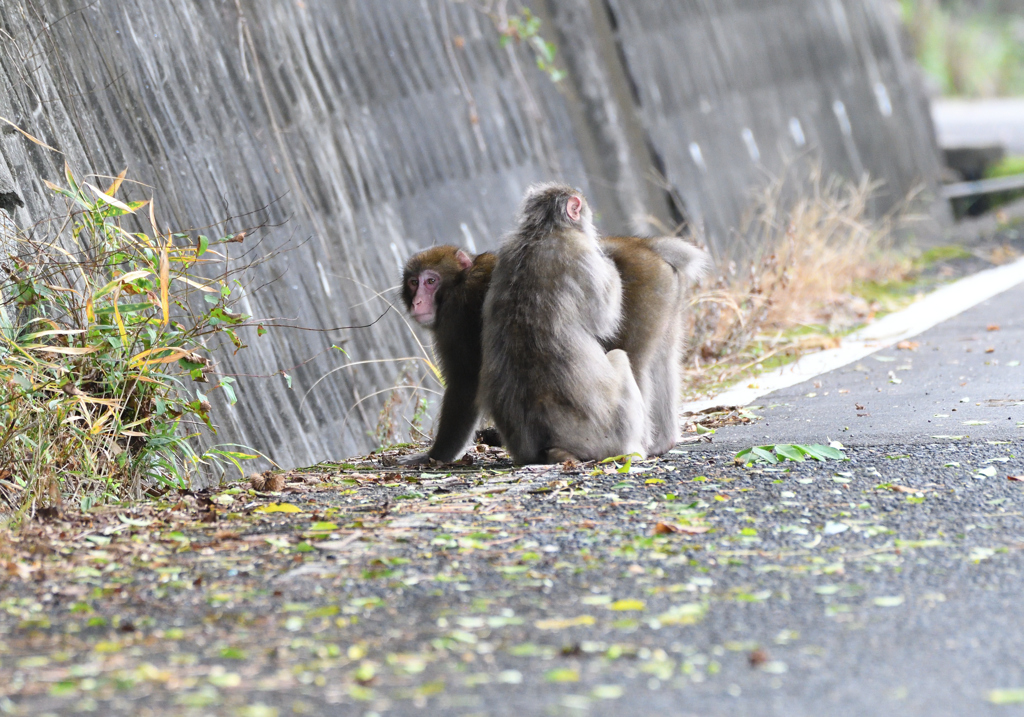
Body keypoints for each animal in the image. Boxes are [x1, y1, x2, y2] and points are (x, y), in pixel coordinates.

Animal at [399, 243, 495, 465]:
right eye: (414, 282)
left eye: (431, 281)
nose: (417, 302)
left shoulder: (456, 316)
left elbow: (466, 381)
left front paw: (436, 455)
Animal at [475, 183, 643, 465]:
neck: (543, 230)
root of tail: (553, 446)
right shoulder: (581, 252)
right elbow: (604, 318)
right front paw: (608, 261)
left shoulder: (505, 252)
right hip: (605, 436)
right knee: (619, 357)